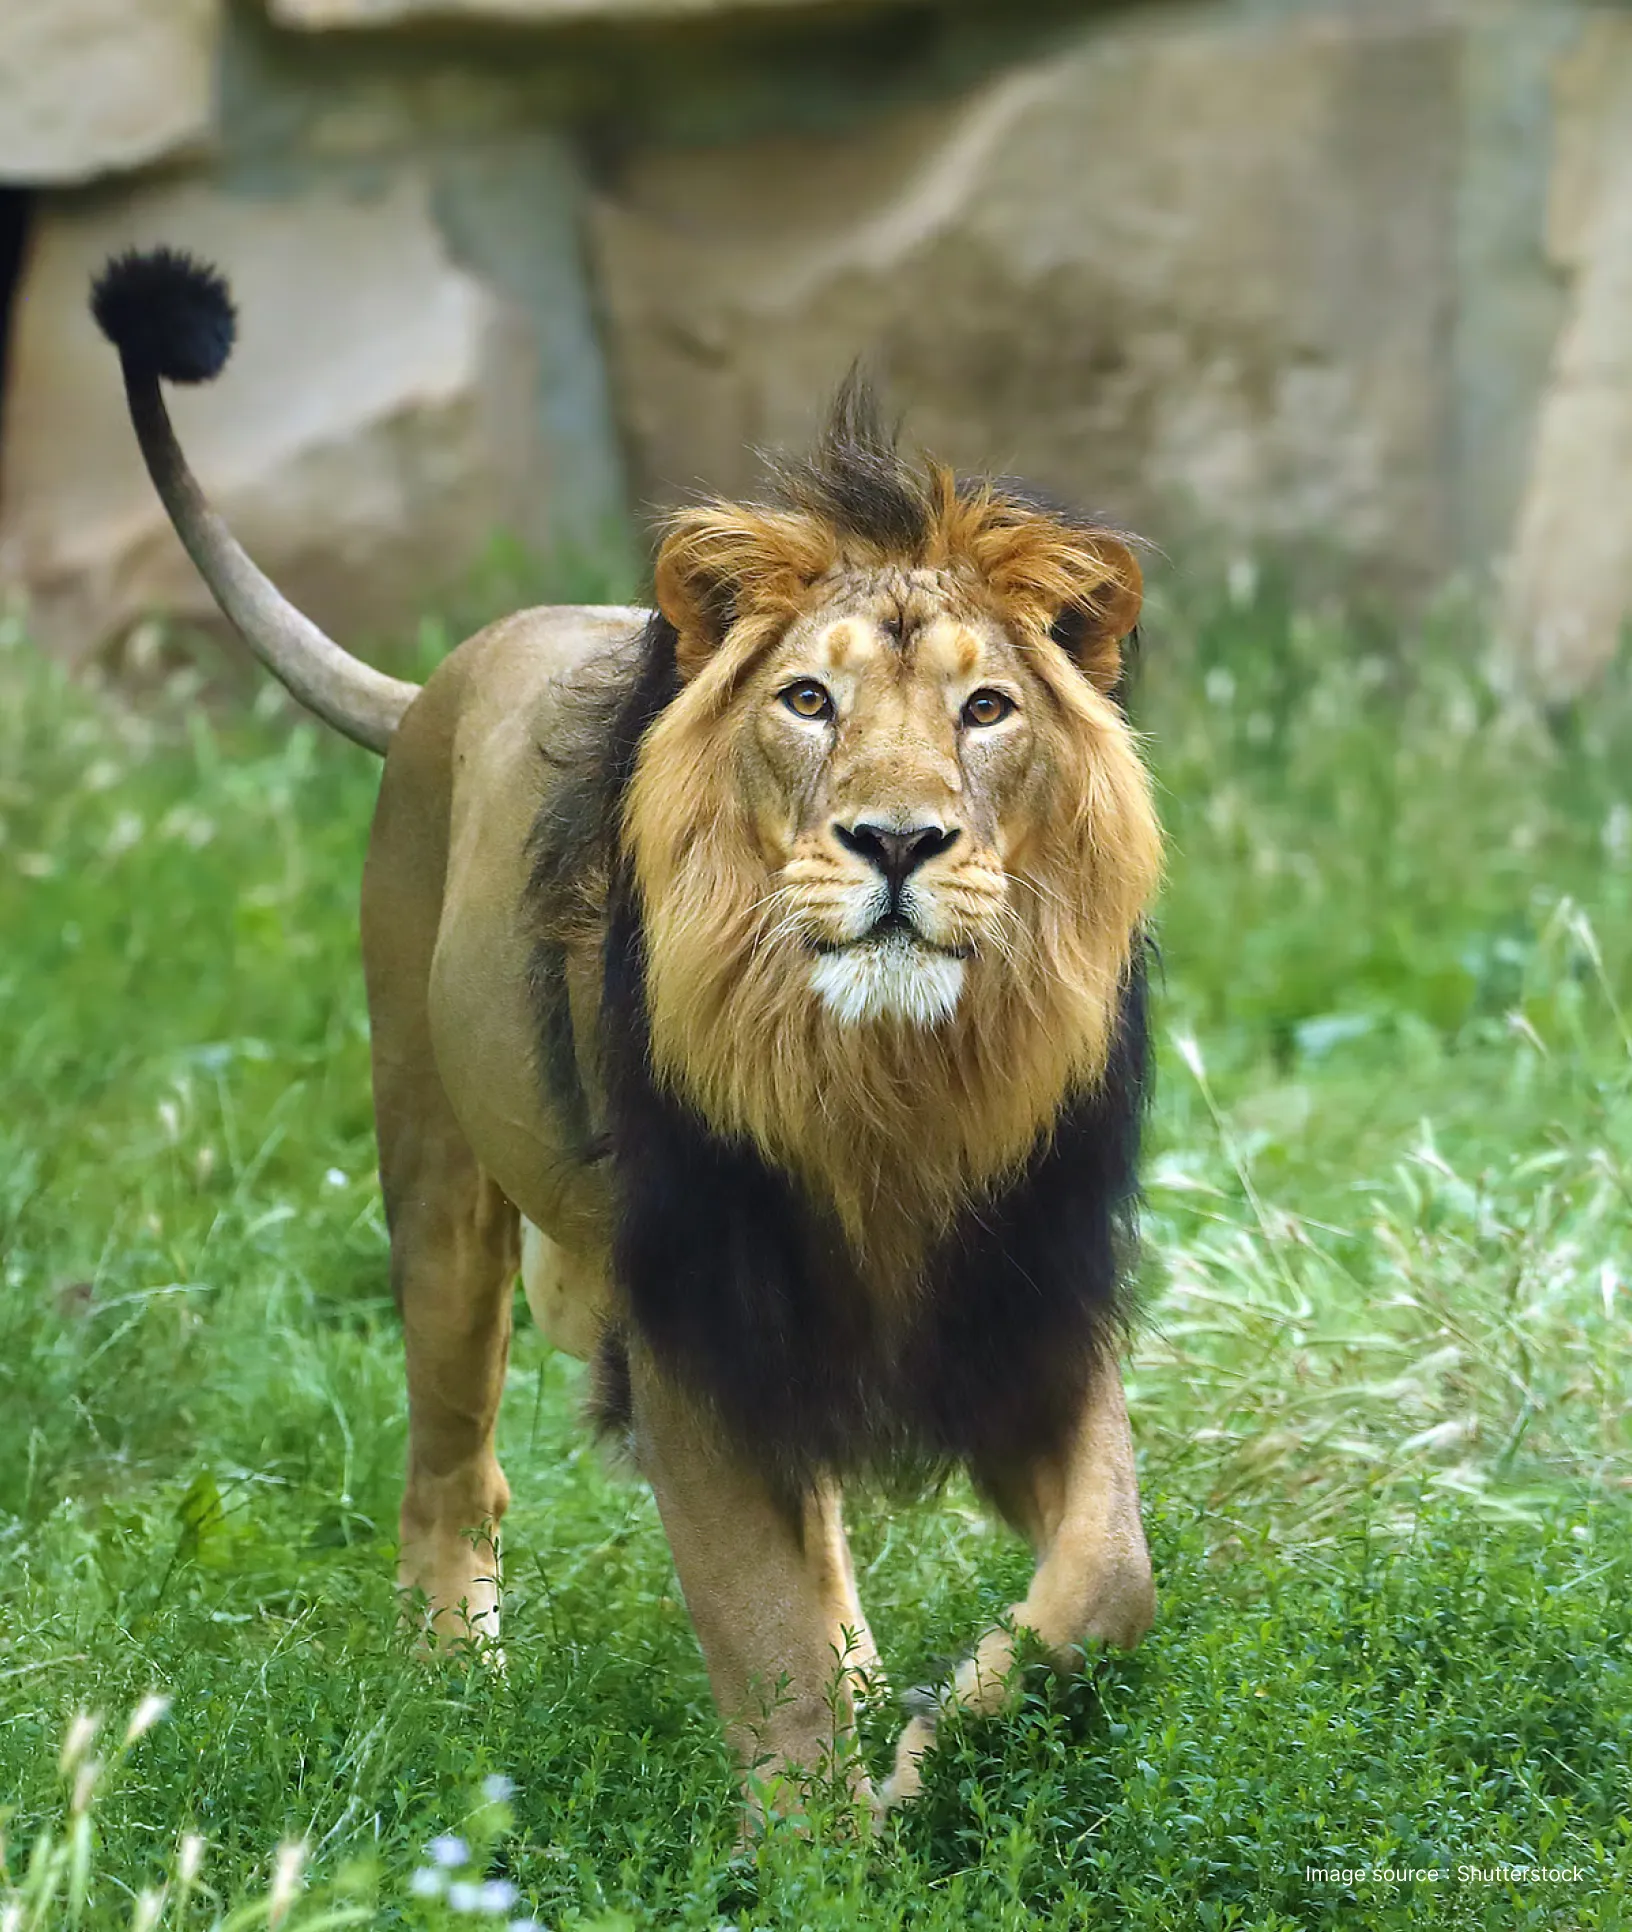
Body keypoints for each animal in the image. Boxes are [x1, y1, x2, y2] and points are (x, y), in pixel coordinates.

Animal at [91, 246, 1162, 1818]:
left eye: (986, 709)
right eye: (809, 700)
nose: (898, 842)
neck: (884, 1085)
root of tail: (464, 659)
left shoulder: (1025, 1294)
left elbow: (1108, 1577)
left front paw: (929, 1747)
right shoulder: (697, 1320)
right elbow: (768, 1650)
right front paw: (834, 1839)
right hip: (434, 1176)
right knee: (452, 1465)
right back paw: (450, 1691)